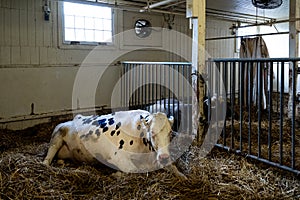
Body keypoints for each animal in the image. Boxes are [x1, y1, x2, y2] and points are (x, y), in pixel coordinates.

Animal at [43, 110, 186, 179]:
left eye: (170, 133)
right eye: (152, 132)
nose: (164, 157)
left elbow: (173, 167)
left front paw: (183, 176)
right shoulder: (117, 156)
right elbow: (133, 169)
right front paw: (116, 174)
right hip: (57, 134)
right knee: (48, 158)